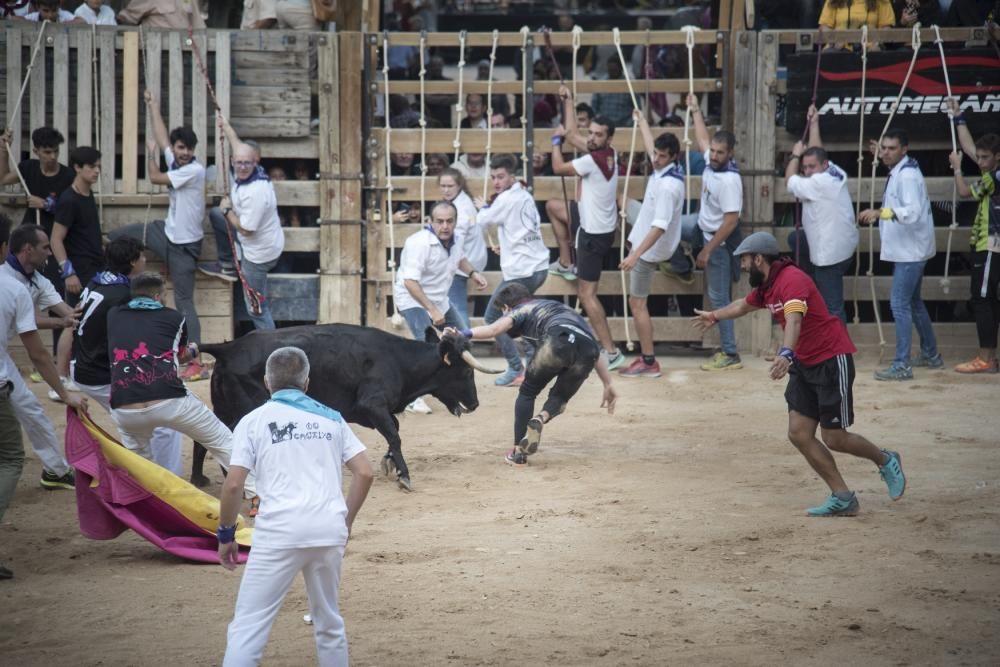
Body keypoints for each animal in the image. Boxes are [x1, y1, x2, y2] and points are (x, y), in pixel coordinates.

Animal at [190, 324, 500, 490]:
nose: (474, 404)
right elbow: (395, 433)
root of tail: (228, 348)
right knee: (223, 439)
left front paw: (389, 463)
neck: (397, 359)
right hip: (243, 411)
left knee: (203, 439)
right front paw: (404, 475)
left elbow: (395, 430)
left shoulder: (376, 411)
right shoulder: (372, 405)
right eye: (465, 372)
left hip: (223, 408)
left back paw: (198, 478)